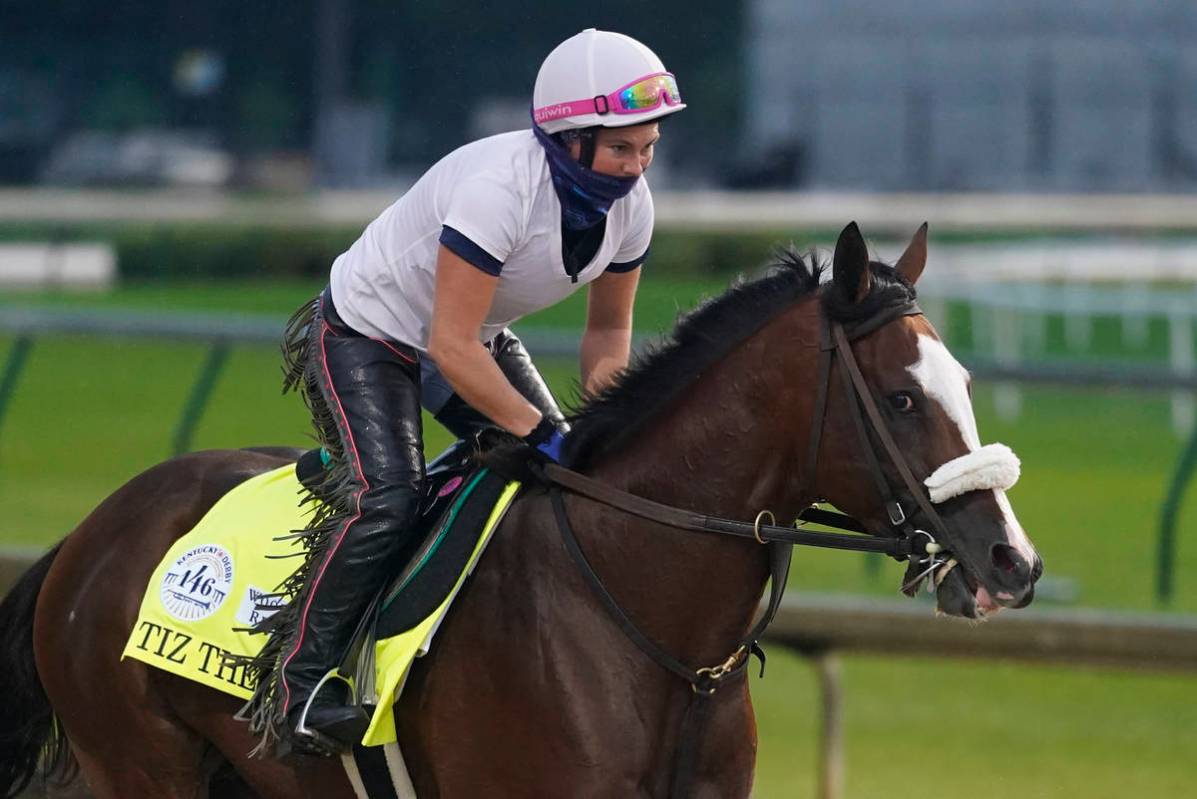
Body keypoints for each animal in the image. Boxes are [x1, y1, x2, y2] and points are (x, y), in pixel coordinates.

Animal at [0, 223, 1038, 799]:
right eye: (899, 397)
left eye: (962, 380)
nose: (1012, 562)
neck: (646, 618)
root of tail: (85, 536)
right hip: (143, 765)